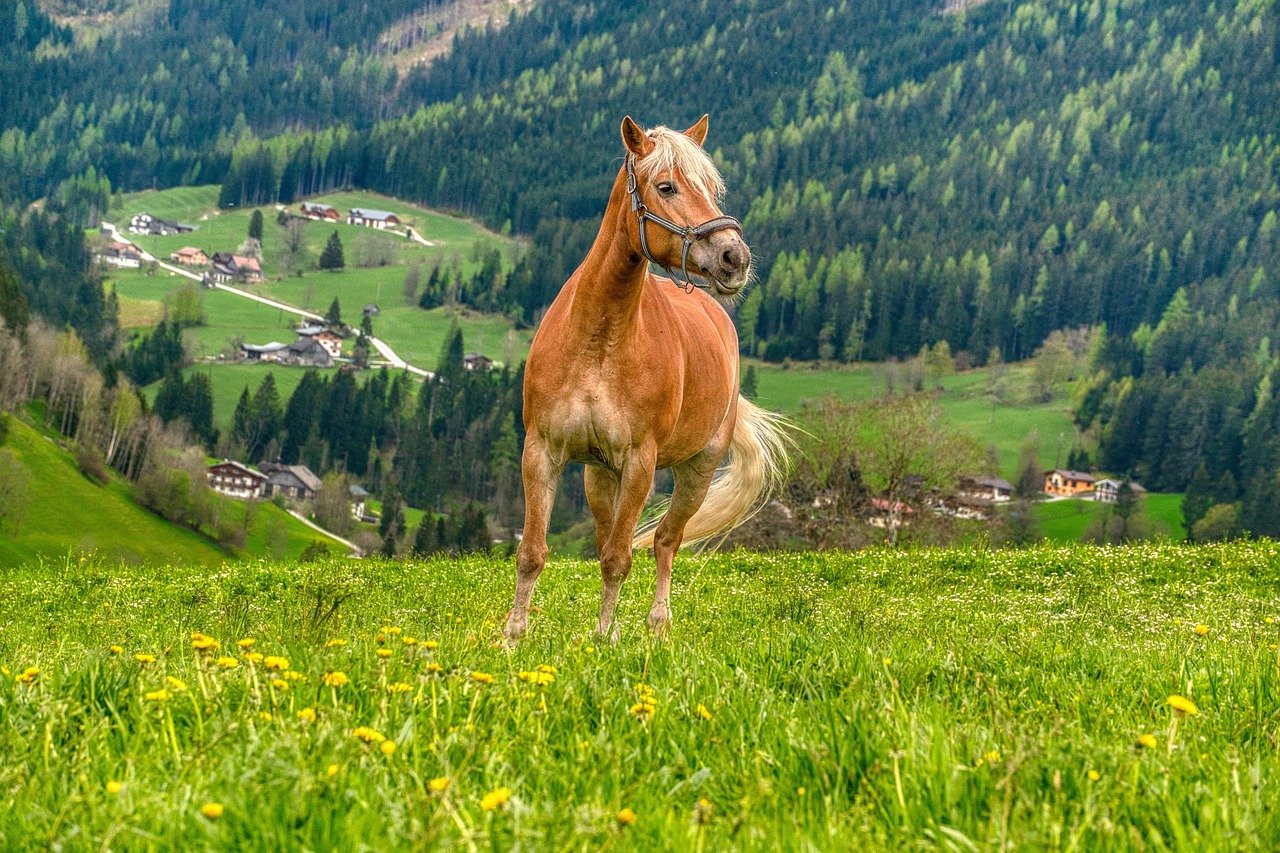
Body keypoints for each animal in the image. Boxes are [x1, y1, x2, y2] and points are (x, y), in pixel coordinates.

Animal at [504, 115, 790, 643]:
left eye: (711, 189)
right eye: (666, 186)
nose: (734, 257)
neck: (598, 342)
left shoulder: (640, 462)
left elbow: (619, 559)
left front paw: (602, 637)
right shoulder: (542, 452)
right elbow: (533, 553)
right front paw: (513, 637)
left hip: (697, 470)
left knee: (665, 541)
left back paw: (658, 623)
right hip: (599, 474)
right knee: (608, 535)